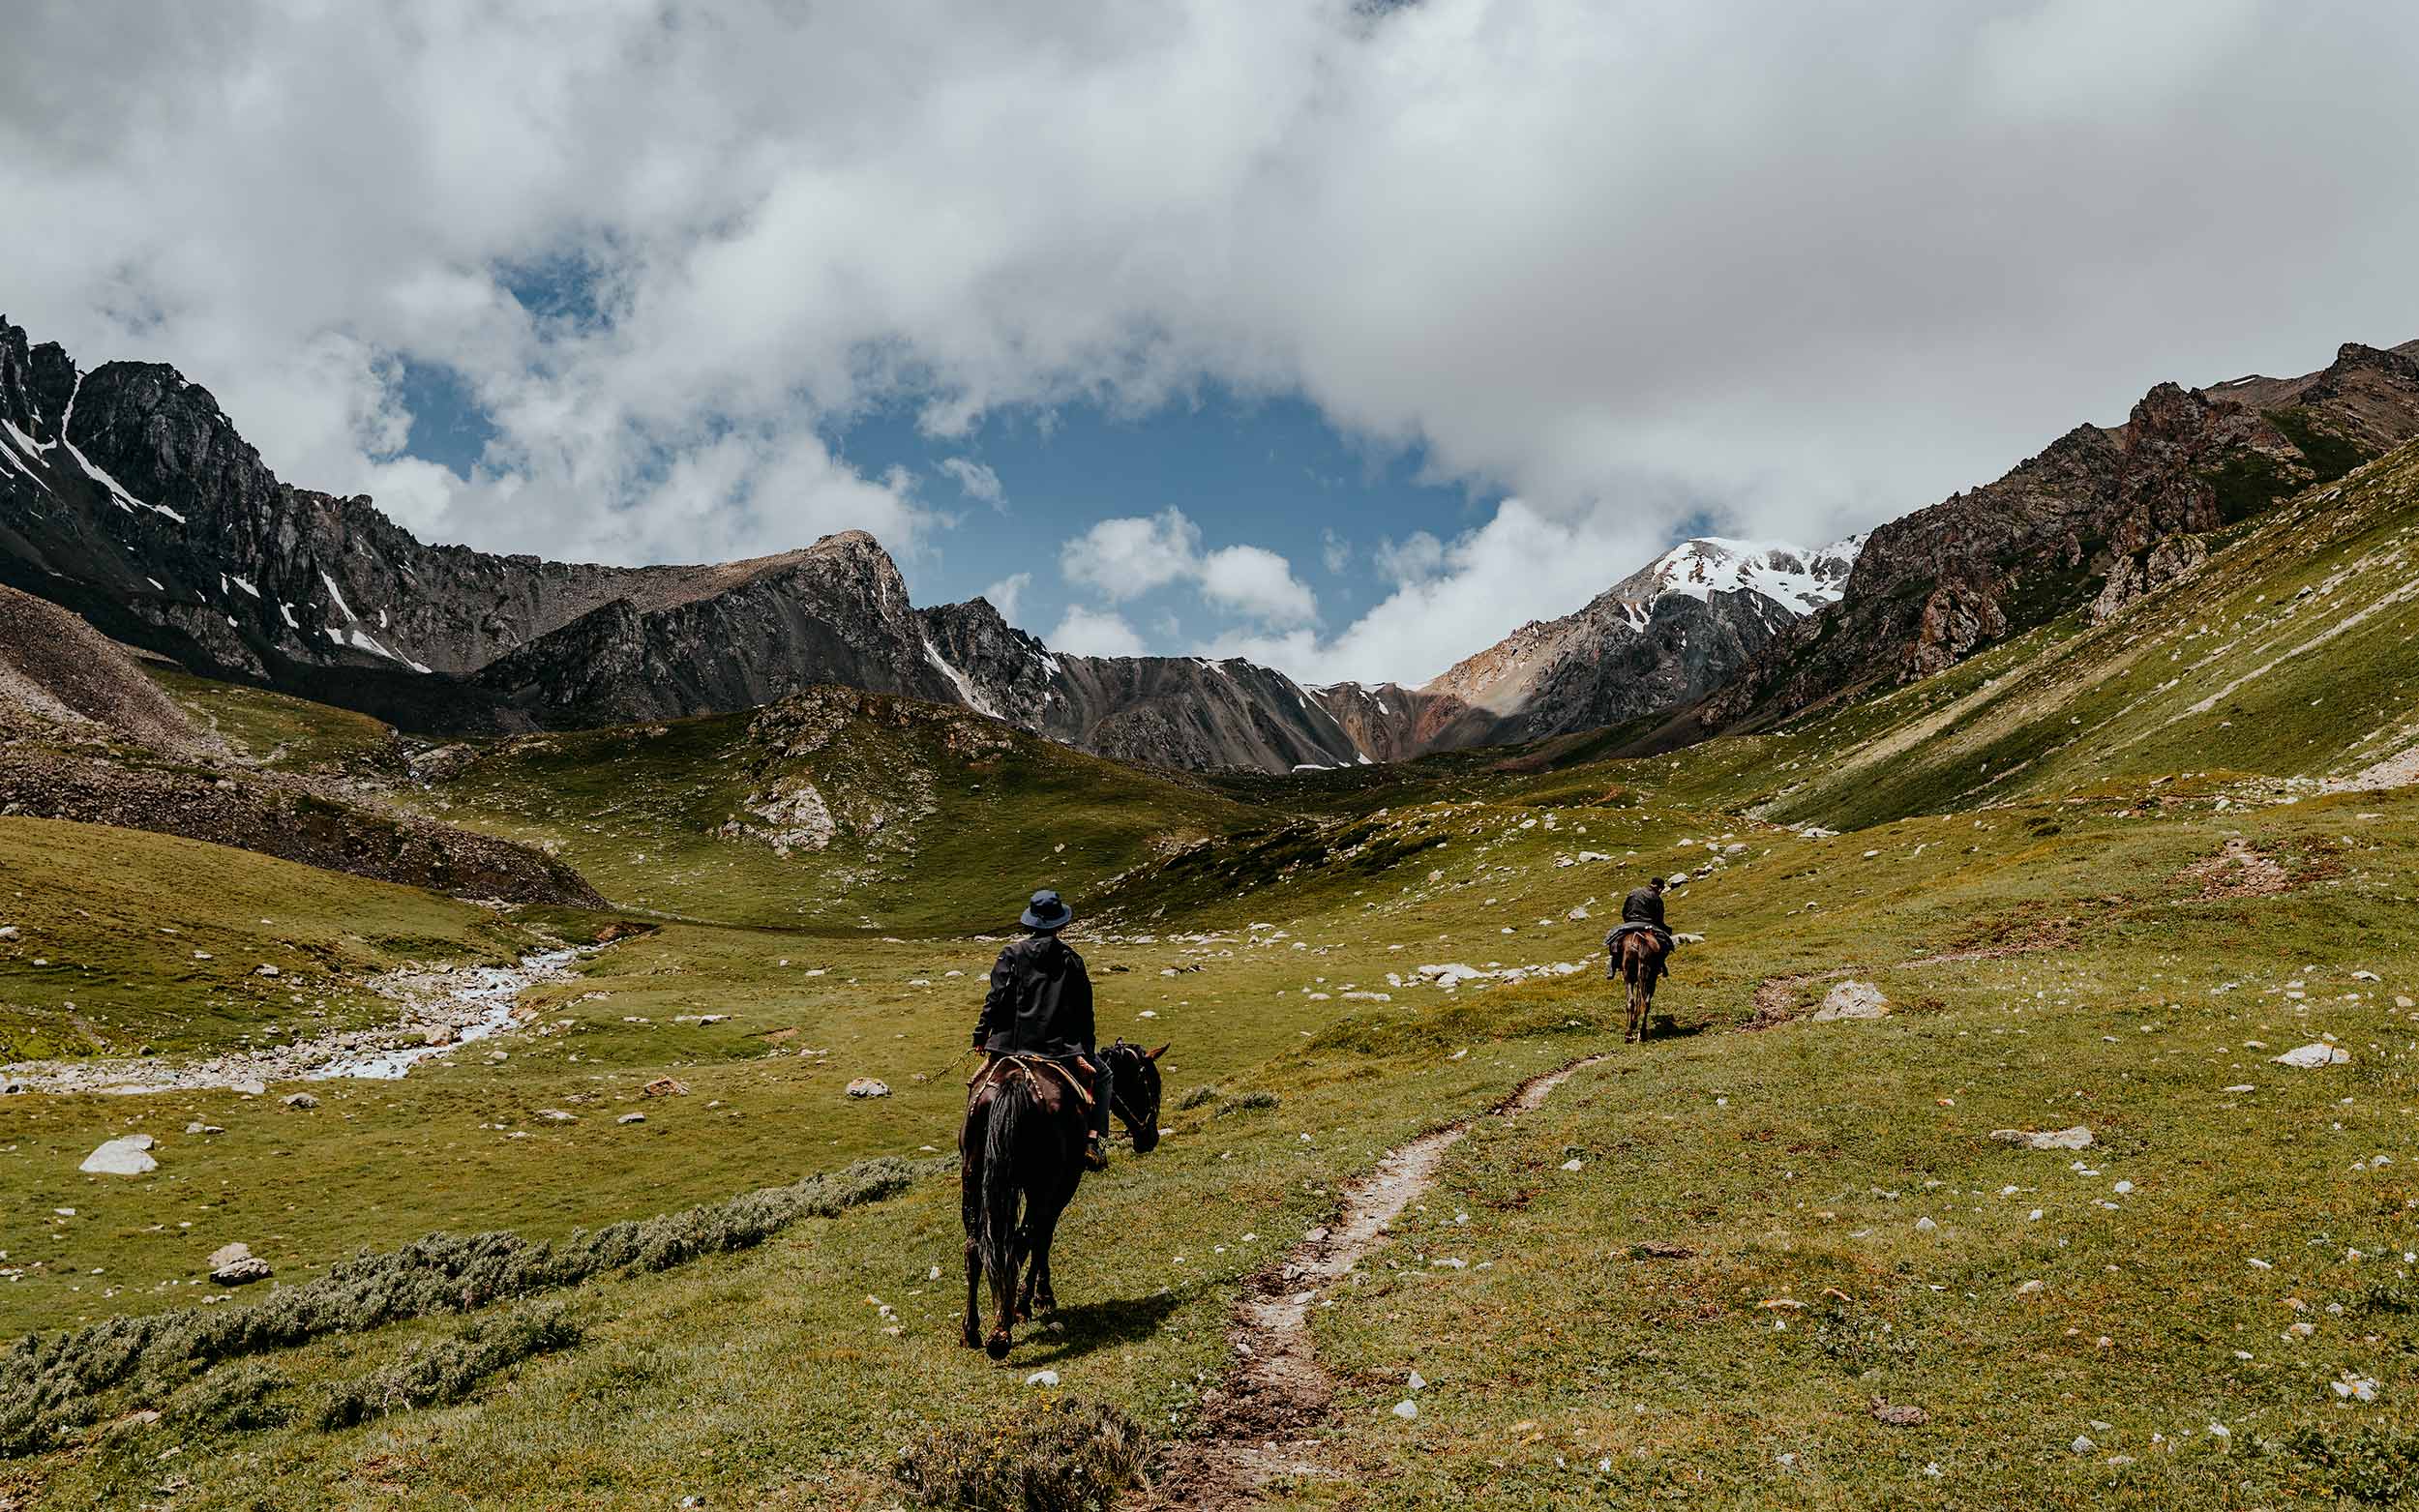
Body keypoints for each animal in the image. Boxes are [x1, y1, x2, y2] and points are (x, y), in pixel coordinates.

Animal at [958, 1035, 1166, 1354]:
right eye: (1151, 1084)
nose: (1150, 1138)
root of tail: (1013, 1082)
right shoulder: (1063, 1183)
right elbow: (1043, 1236)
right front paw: (1037, 1298)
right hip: (1044, 1182)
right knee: (1021, 1240)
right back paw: (1003, 1329)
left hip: (973, 1176)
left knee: (975, 1246)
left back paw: (972, 1331)